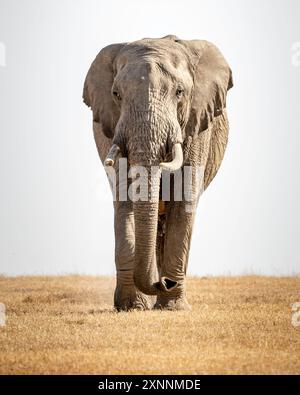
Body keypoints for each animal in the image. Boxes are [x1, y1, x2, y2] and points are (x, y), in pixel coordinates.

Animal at [83, 34, 233, 312]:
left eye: (180, 92)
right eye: (116, 94)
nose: (165, 283)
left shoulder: (198, 126)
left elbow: (184, 201)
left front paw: (173, 307)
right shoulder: (110, 130)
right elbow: (124, 199)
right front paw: (131, 307)